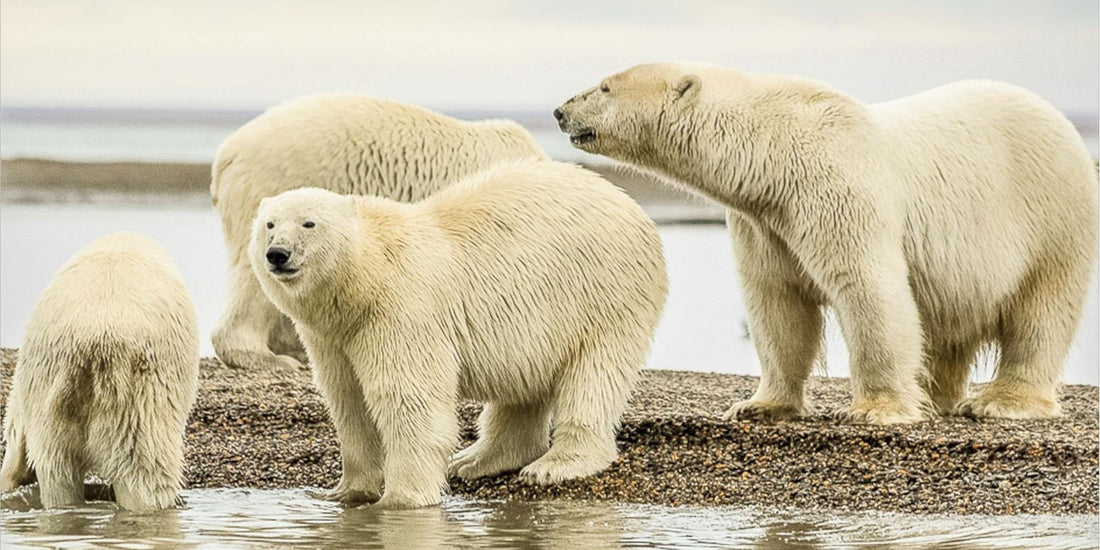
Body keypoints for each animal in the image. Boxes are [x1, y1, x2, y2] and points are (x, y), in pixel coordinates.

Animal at [248, 158, 664, 506]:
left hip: (602, 294)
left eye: (309, 223)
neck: (365, 280)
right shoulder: (333, 335)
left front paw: (401, 499)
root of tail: (627, 202)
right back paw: (478, 459)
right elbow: (348, 400)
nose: (278, 254)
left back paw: (553, 465)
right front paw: (346, 492)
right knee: (523, 383)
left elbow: (408, 398)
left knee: (593, 375)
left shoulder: (401, 311)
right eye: (269, 224)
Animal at [558, 63, 1100, 424]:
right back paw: (934, 394)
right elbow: (777, 303)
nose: (561, 111)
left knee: (1041, 310)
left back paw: (1001, 401)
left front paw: (875, 410)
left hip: (1051, 215)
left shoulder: (836, 191)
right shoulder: (764, 222)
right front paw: (758, 405)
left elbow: (868, 288)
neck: (773, 151)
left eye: (604, 87)